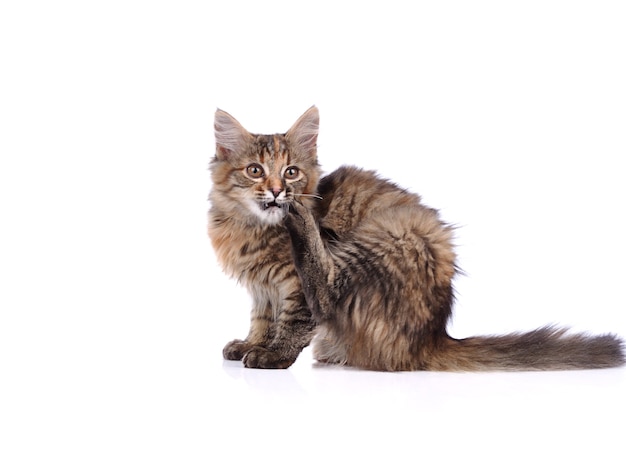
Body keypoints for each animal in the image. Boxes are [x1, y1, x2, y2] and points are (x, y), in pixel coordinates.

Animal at [207, 106, 620, 372]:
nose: (280, 192)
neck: (247, 226)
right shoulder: (263, 289)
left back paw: (301, 220)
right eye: (255, 170)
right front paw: (252, 344)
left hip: (393, 232)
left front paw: (274, 355)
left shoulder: (291, 284)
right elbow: (262, 319)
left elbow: (293, 320)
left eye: (291, 172)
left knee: (325, 291)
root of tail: (431, 337)